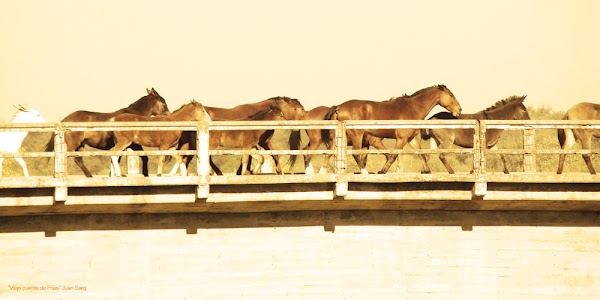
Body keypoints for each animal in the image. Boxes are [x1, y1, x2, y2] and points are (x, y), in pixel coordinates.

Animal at [166, 96, 304, 176]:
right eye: (296, 108)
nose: (298, 126)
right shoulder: (255, 143)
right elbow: (249, 159)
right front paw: (245, 172)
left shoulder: (262, 142)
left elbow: (273, 155)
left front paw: (280, 172)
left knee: (186, 157)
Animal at [324, 84, 460, 175]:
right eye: (450, 95)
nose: (459, 110)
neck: (413, 108)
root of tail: (339, 107)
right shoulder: (401, 139)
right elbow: (393, 155)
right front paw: (382, 171)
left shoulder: (411, 139)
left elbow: (420, 153)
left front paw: (427, 171)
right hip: (357, 136)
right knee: (356, 154)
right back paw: (365, 172)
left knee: (329, 154)